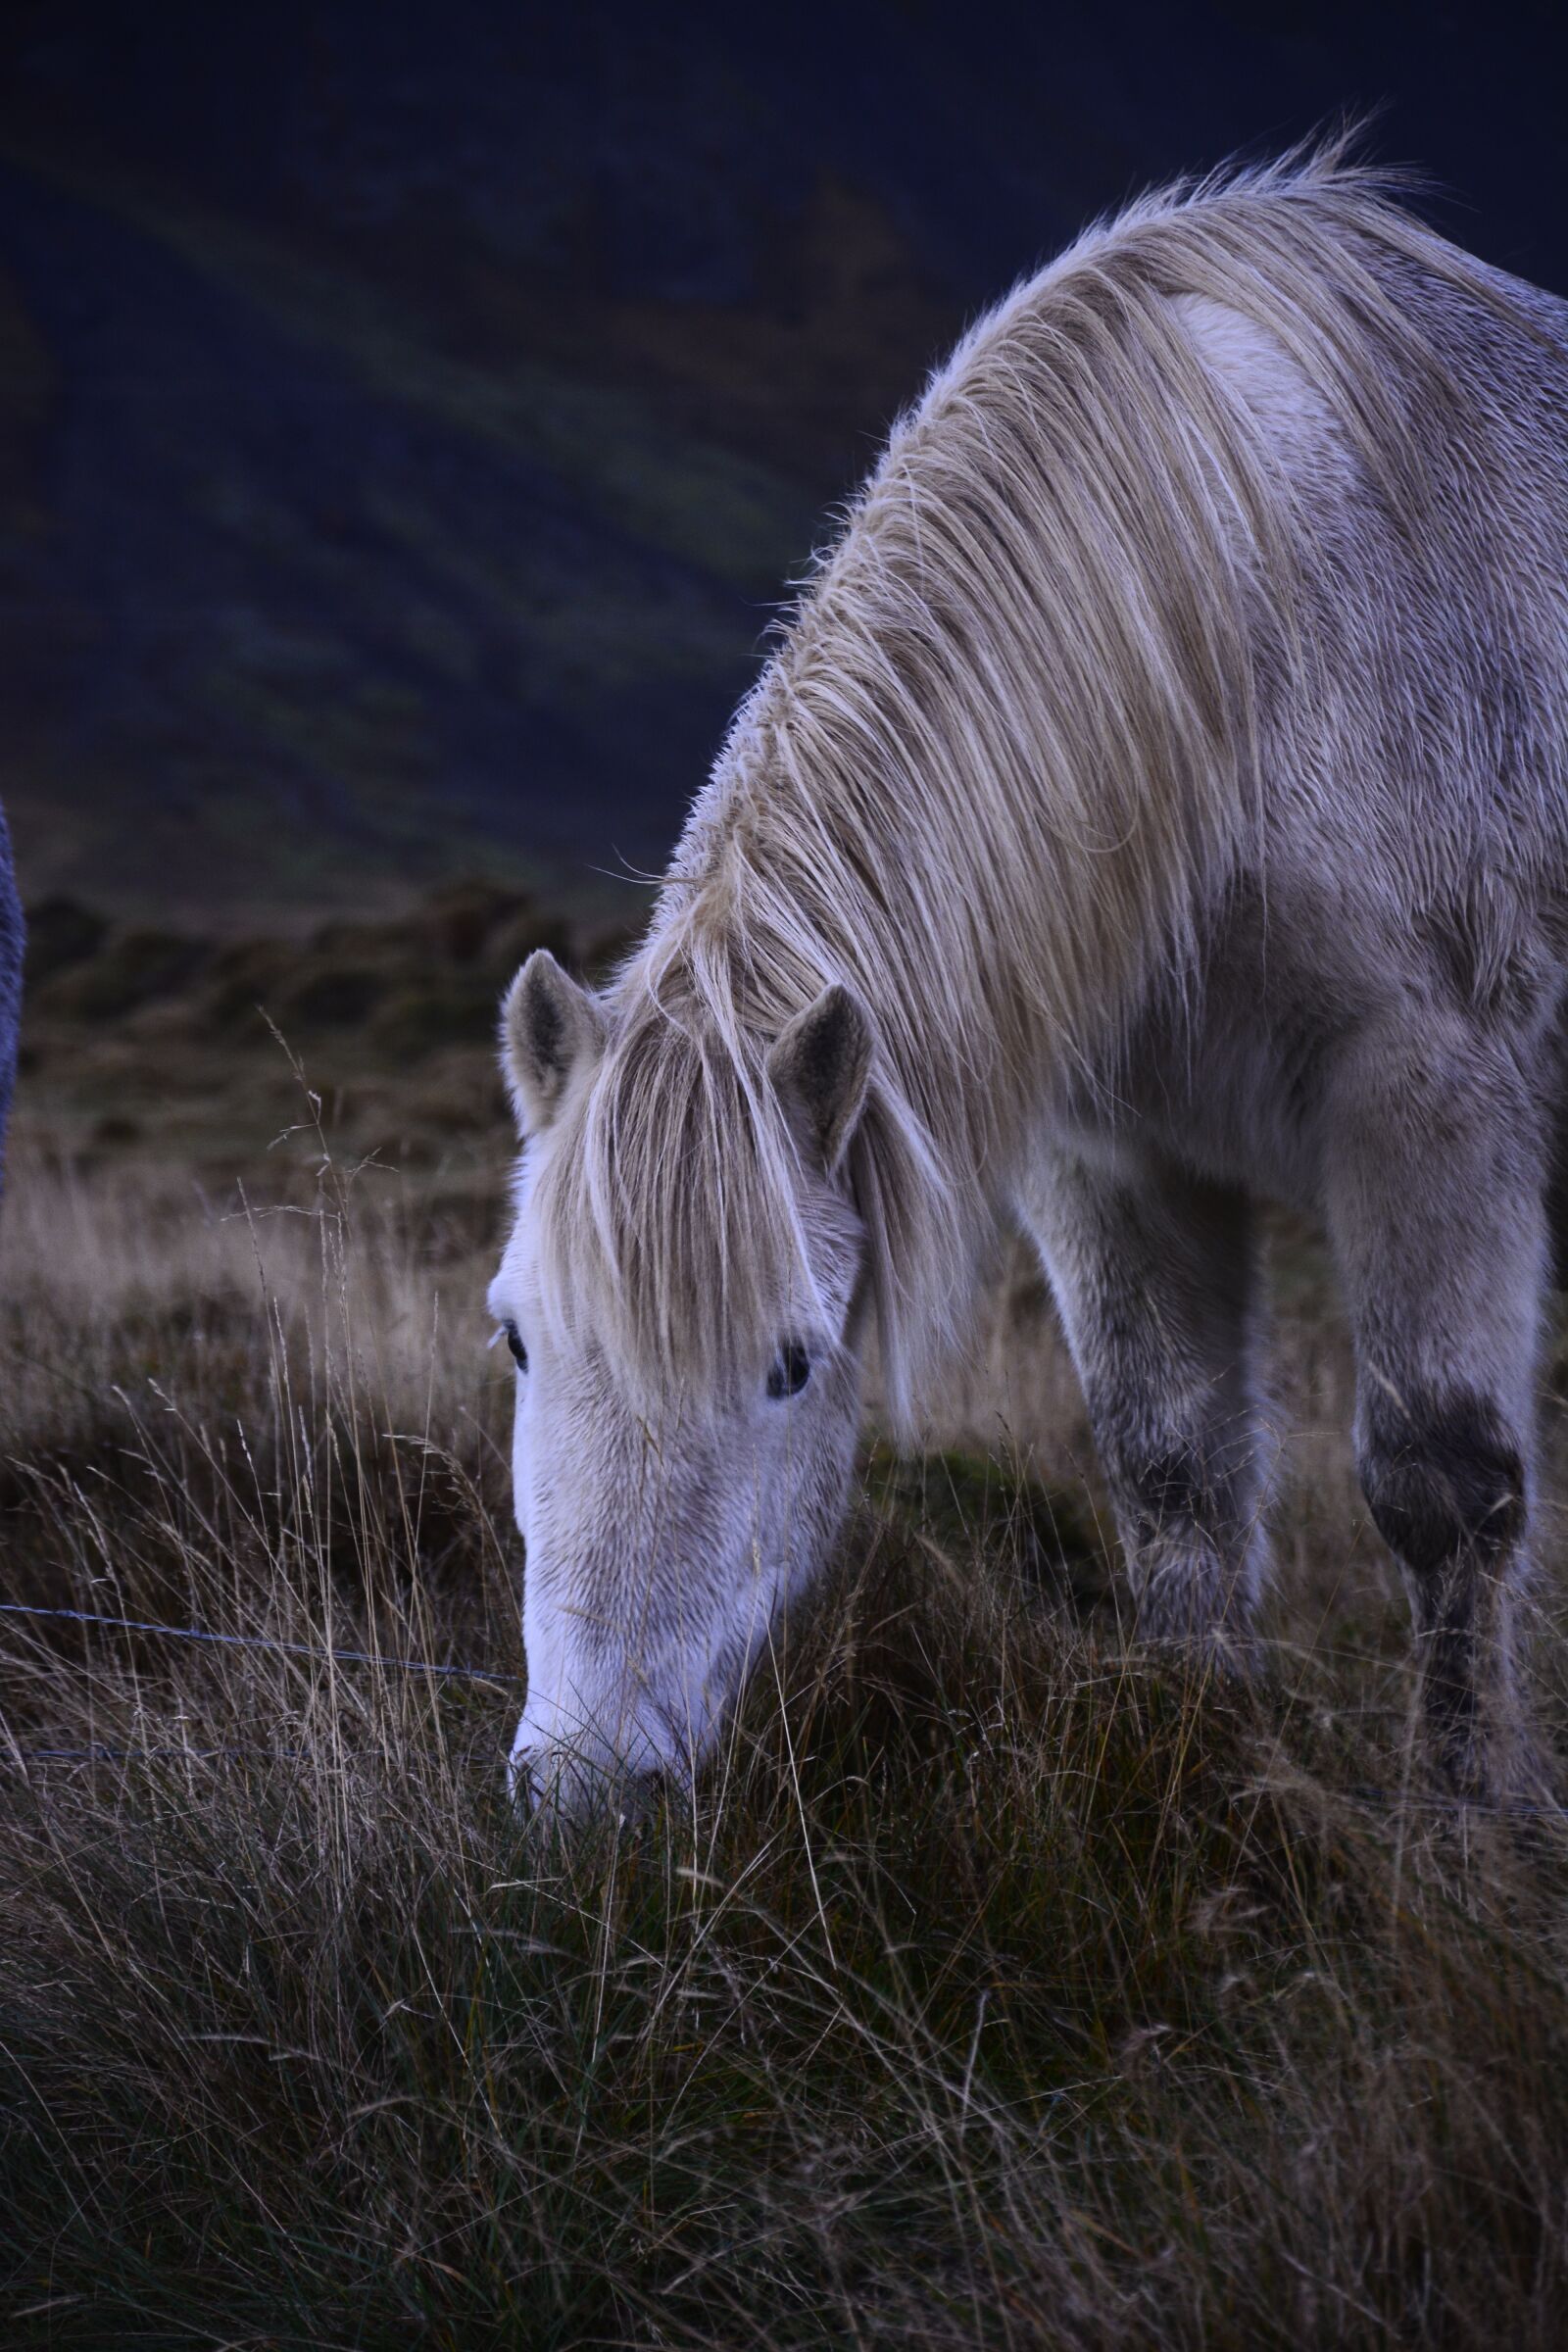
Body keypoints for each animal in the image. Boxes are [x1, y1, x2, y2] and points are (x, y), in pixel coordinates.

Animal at [488, 138, 1568, 1814]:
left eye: (793, 1366)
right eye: (519, 1336)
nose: (583, 1797)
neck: (1233, 640)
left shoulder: (1429, 1099)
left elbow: (1442, 1487)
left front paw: (1467, 1834)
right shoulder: (1109, 1150)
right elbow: (1173, 1474)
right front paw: (1213, 1778)